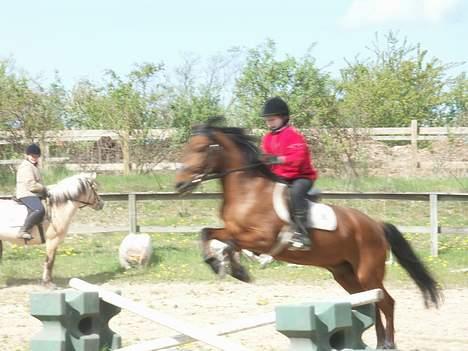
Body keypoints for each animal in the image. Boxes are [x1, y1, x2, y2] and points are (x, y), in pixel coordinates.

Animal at [174, 118, 440, 350]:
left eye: (201, 149)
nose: (179, 185)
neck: (247, 191)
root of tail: (376, 225)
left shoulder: (262, 238)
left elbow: (230, 243)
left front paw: (236, 270)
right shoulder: (233, 230)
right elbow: (207, 233)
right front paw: (219, 264)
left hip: (367, 272)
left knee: (386, 302)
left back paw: (389, 344)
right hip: (345, 274)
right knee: (371, 303)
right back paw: (379, 342)